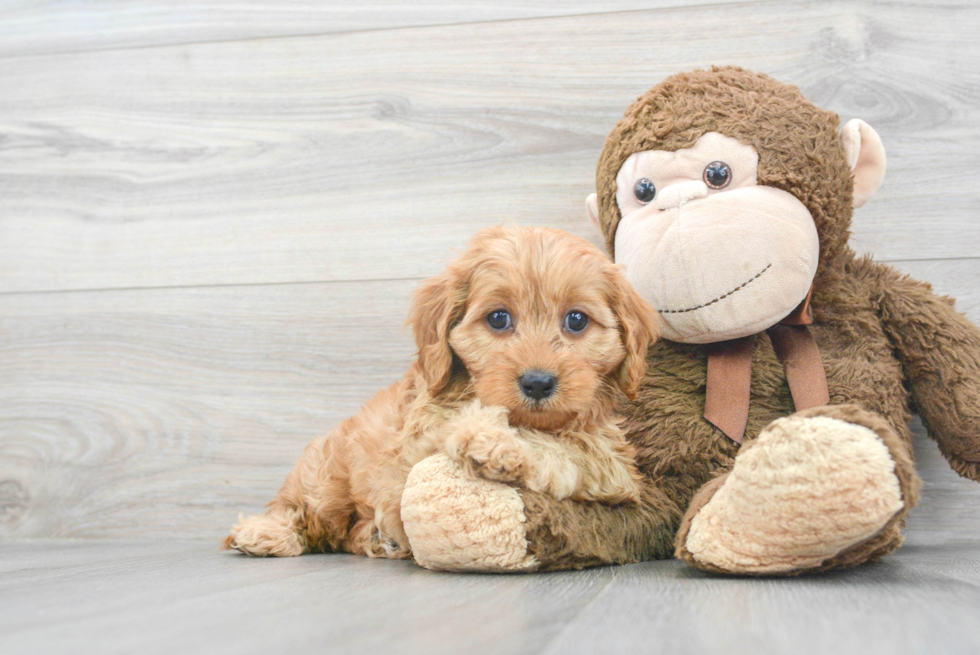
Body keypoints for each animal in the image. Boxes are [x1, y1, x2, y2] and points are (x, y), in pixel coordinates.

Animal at [222, 226, 660, 560]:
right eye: (498, 318)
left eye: (577, 321)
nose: (537, 382)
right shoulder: (410, 445)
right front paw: (489, 437)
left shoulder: (613, 463)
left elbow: (569, 449)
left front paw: (499, 445)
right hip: (325, 477)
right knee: (301, 510)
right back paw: (265, 533)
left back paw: (375, 538)